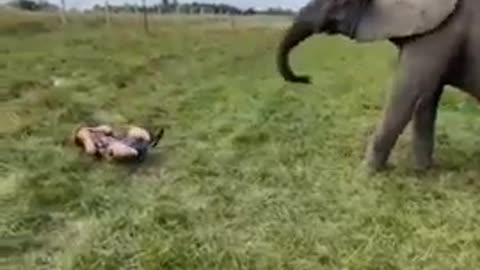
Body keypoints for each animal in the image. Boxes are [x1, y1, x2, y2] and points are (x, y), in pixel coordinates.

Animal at [276, 0, 480, 172]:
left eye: (339, 3)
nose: (307, 79)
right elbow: (426, 99)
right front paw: (423, 170)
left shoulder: (441, 34)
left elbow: (406, 95)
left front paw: (365, 172)